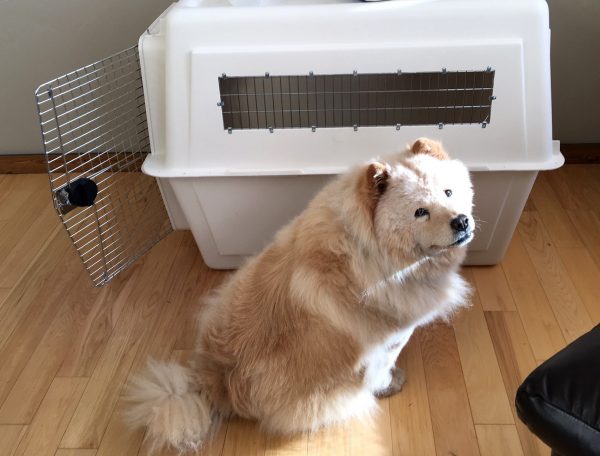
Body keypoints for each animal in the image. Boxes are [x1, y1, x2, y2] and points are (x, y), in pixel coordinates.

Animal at [124, 137, 476, 450]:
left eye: (448, 192)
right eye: (420, 212)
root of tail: (214, 382)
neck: (374, 253)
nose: (461, 221)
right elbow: (384, 368)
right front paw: (392, 383)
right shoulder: (390, 340)